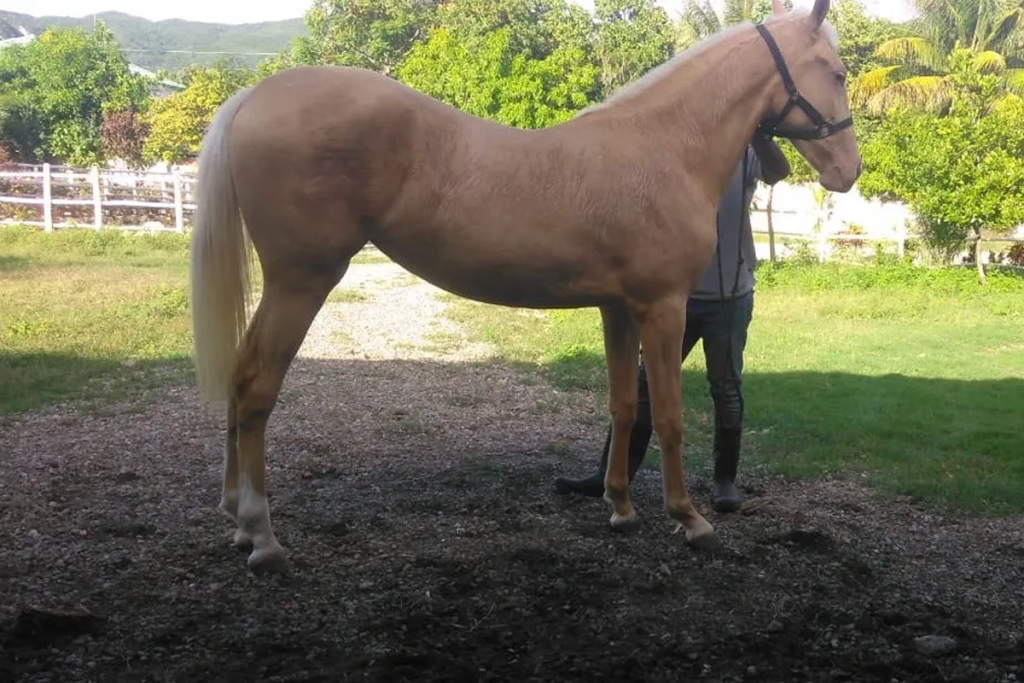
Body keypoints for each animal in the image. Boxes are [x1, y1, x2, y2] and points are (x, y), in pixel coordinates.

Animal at [189, 0, 861, 574]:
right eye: (837, 71)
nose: (848, 171)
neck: (664, 147)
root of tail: (255, 96)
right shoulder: (662, 307)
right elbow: (669, 414)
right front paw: (689, 520)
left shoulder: (618, 309)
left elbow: (624, 405)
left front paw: (621, 509)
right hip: (302, 281)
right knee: (256, 386)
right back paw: (263, 536)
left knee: (239, 378)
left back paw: (236, 519)